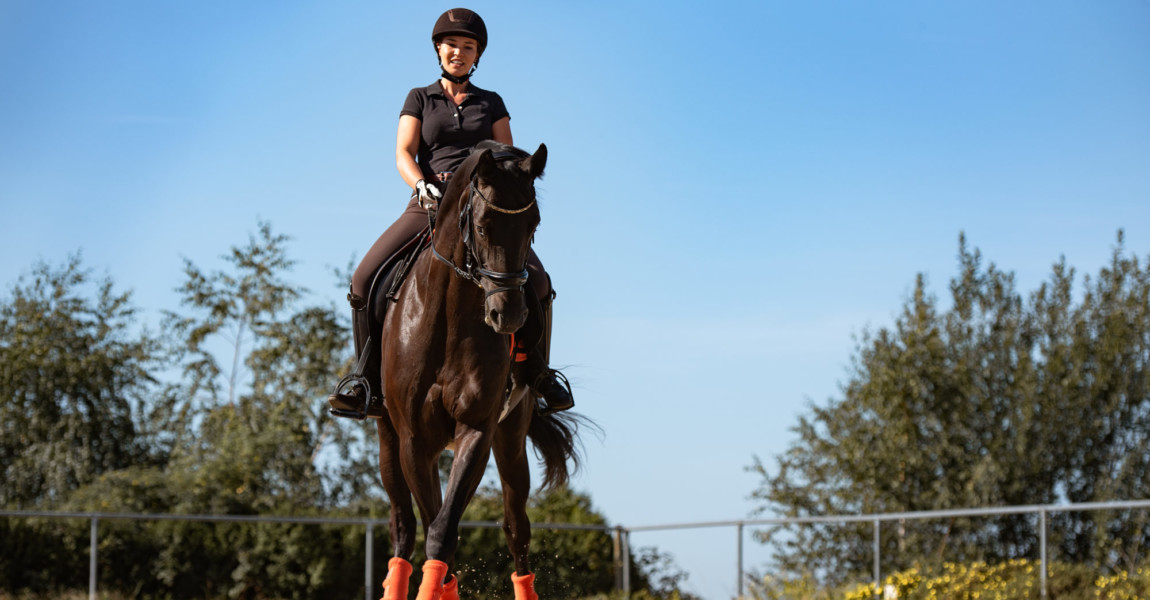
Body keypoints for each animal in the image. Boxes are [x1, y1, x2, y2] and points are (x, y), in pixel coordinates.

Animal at [374, 140, 579, 597]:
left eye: (534, 225)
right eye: (483, 227)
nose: (510, 315)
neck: (448, 317)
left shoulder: (477, 430)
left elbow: (442, 533)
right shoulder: (413, 441)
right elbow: (433, 529)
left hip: (510, 436)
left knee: (516, 530)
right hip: (388, 440)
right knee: (402, 530)